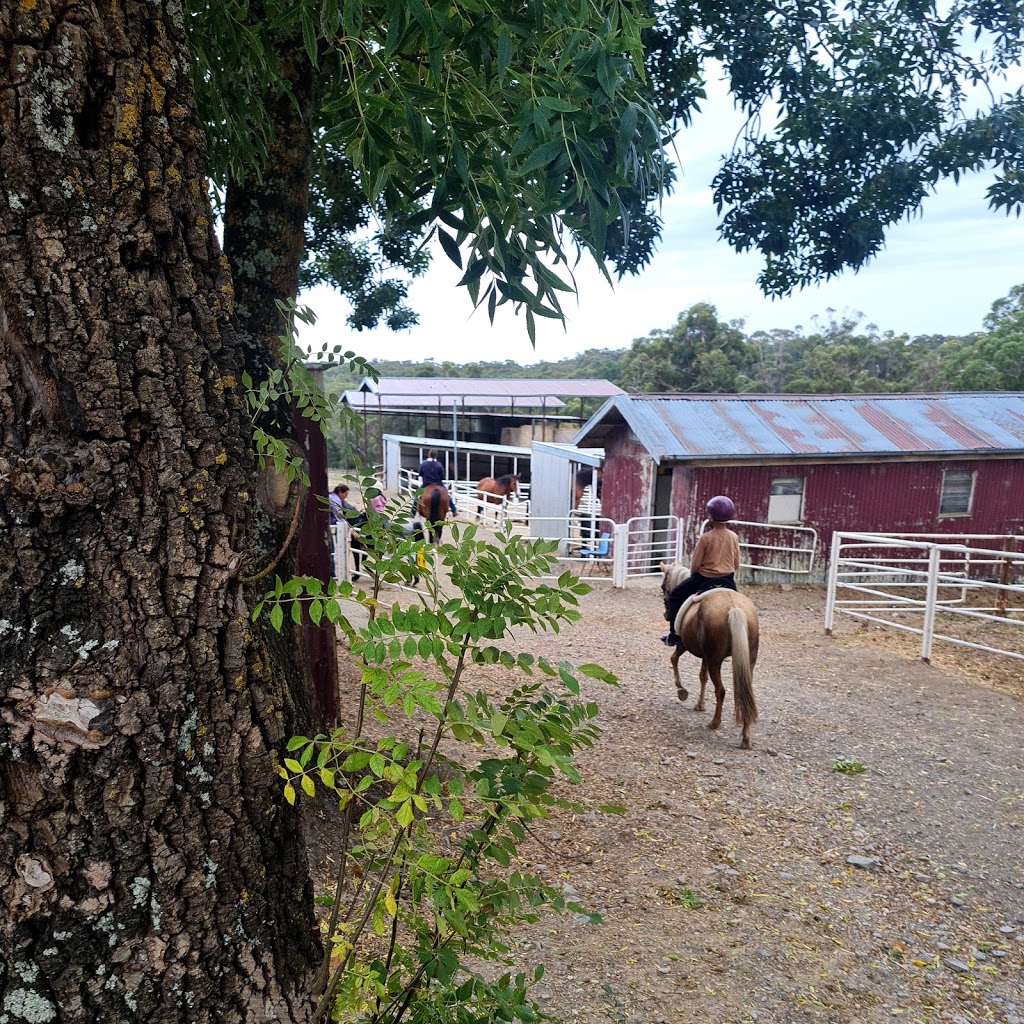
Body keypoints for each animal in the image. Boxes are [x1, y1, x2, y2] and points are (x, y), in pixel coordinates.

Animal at [659, 565, 757, 749]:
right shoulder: (705, 656)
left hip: (715, 661)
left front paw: (681, 690)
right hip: (747, 662)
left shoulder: (683, 644)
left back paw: (714, 723)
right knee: (745, 693)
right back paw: (746, 738)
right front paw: (700, 704)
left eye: (663, 586)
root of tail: (734, 607)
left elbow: (674, 659)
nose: (666, 615)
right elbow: (702, 677)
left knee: (721, 690)